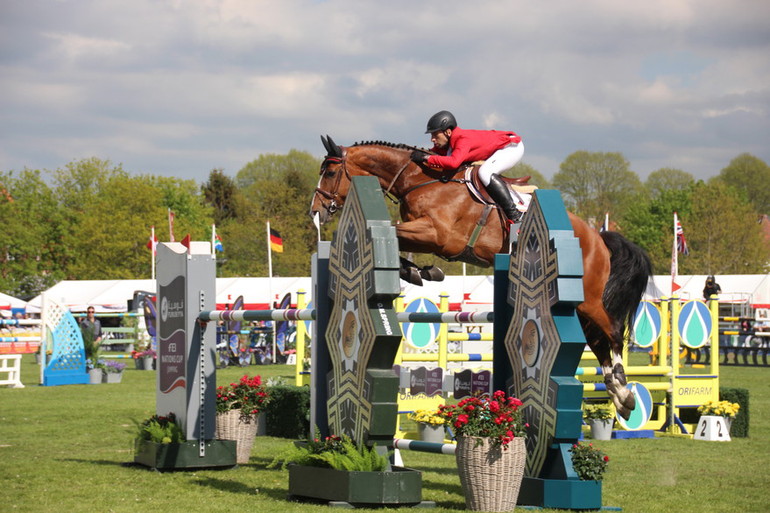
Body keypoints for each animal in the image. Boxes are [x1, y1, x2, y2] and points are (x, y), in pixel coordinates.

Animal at [306, 134, 648, 418]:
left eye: (330, 172)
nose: (316, 211)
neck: (420, 181)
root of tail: (597, 236)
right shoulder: (424, 235)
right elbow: (395, 239)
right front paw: (420, 272)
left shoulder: (438, 235)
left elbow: (395, 232)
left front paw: (421, 271)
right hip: (579, 305)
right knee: (599, 341)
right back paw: (620, 396)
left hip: (589, 298)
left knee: (613, 332)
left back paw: (623, 389)